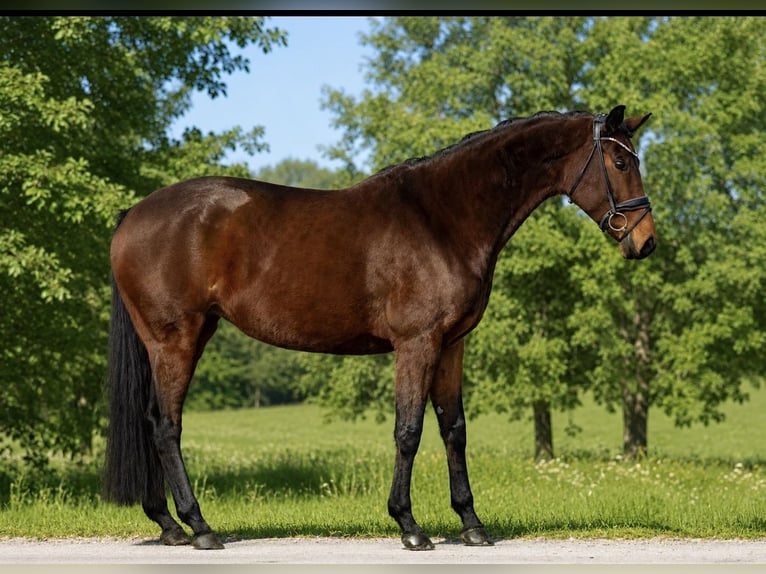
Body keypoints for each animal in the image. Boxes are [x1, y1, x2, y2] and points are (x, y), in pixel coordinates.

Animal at [105, 105, 656, 551]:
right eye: (621, 163)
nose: (645, 241)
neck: (442, 218)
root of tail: (134, 213)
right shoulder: (417, 343)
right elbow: (408, 430)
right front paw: (409, 526)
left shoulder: (451, 345)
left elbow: (454, 430)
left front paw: (472, 524)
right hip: (176, 339)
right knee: (166, 427)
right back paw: (199, 527)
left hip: (176, 339)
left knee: (151, 420)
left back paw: (168, 525)